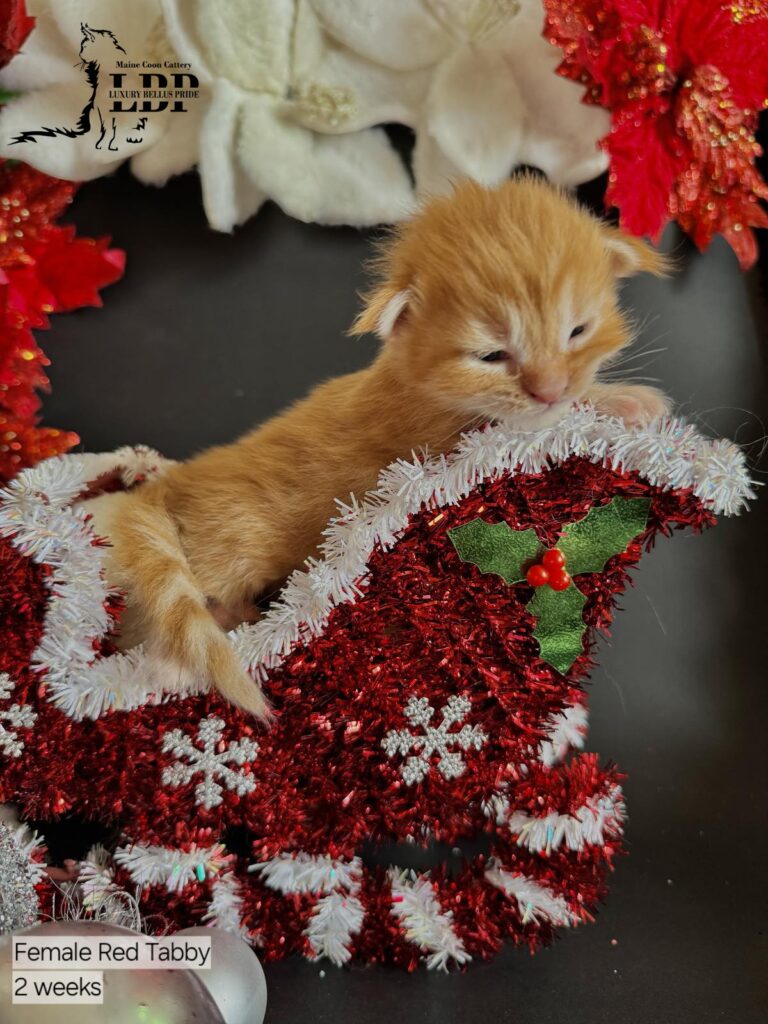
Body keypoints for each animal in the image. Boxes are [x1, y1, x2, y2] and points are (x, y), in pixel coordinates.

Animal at [85, 178, 671, 720]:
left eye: (578, 330)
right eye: (491, 355)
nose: (549, 389)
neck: (417, 382)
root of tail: (167, 484)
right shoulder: (444, 436)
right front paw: (620, 400)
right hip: (230, 544)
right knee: (148, 619)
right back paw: (170, 661)